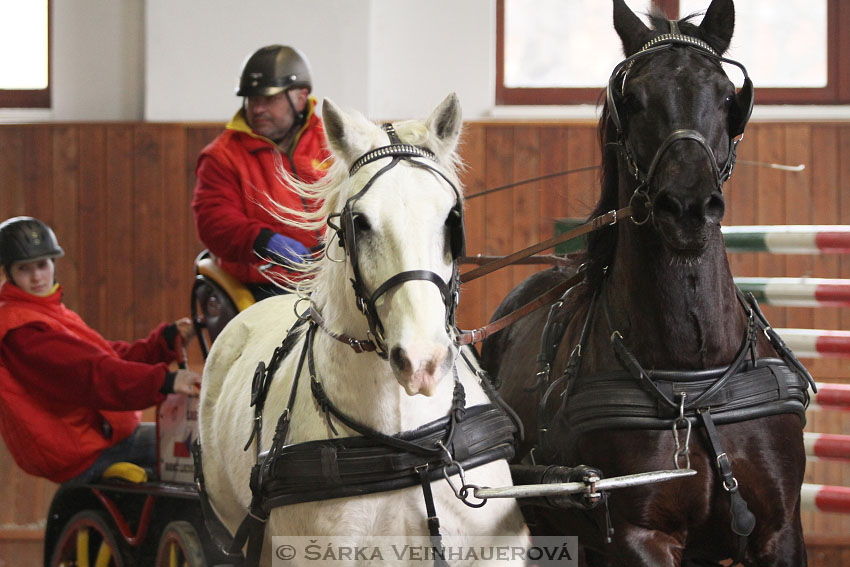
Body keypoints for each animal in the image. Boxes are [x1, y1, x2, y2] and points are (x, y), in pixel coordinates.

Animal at [484, 1, 808, 567]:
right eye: (632, 100)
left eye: (728, 97)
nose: (688, 207)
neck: (693, 382)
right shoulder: (640, 538)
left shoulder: (780, 531)